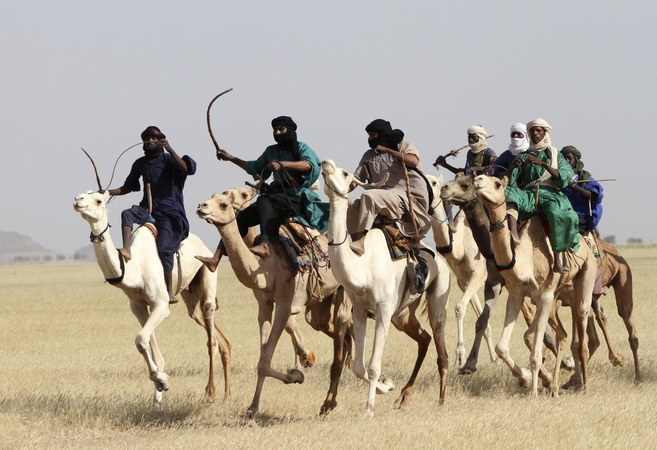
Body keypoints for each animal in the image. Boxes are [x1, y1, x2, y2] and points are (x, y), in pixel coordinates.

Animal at [71, 190, 229, 408]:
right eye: (82, 194)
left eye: (98, 200)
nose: (78, 201)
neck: (135, 268)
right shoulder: (137, 305)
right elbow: (146, 342)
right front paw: (159, 392)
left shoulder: (161, 303)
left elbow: (140, 339)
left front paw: (162, 381)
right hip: (190, 294)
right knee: (207, 325)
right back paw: (226, 392)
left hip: (207, 272)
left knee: (210, 327)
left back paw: (211, 393)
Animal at [322, 159, 452, 414]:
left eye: (344, 173)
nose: (326, 163)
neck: (362, 265)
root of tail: (441, 261)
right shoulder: (359, 309)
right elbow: (358, 366)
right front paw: (387, 386)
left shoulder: (382, 309)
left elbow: (373, 365)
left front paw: (369, 408)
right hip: (401, 314)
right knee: (424, 338)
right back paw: (403, 397)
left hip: (439, 293)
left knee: (440, 343)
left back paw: (442, 401)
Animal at [426, 173, 498, 370]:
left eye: (434, 182)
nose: (444, 189)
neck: (461, 245)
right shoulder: (463, 280)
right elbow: (469, 311)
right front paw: (493, 358)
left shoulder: (478, 274)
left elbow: (459, 307)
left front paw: (460, 356)